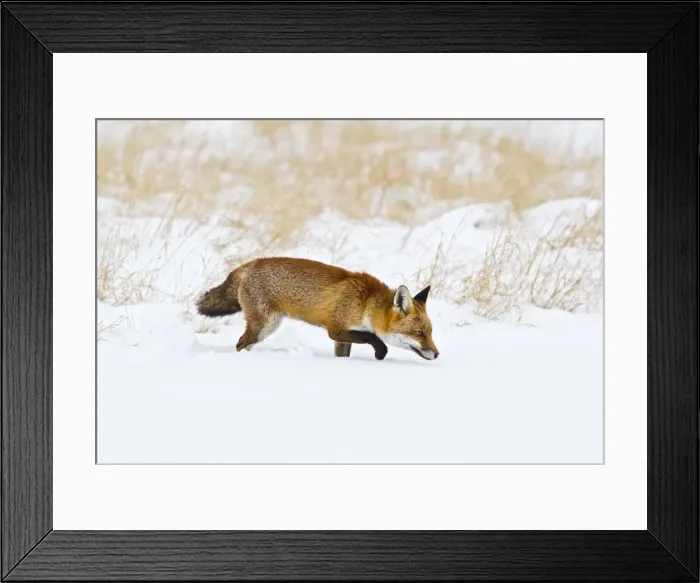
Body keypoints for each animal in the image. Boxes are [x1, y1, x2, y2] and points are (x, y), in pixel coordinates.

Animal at [196, 257, 439, 361]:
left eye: (430, 332)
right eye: (419, 333)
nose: (437, 354)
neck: (365, 304)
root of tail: (250, 263)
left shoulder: (342, 338)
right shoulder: (337, 330)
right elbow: (374, 338)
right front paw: (380, 354)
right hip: (264, 327)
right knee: (240, 344)